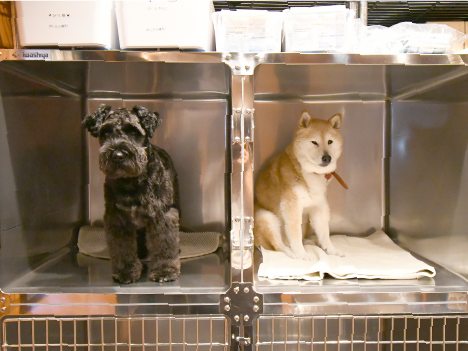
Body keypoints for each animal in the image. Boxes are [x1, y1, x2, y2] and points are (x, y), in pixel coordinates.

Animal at [83, 104, 180, 284]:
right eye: (106, 132)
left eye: (134, 132)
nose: (117, 155)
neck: (131, 182)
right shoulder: (118, 219)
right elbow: (122, 248)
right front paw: (126, 271)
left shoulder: (162, 215)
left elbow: (165, 242)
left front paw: (165, 270)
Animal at [254, 110, 346, 262]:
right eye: (314, 142)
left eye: (330, 141)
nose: (327, 158)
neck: (311, 173)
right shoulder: (292, 206)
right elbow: (295, 233)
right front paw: (302, 253)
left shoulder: (319, 206)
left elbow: (324, 233)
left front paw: (331, 250)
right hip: (266, 217)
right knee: (278, 246)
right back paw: (291, 252)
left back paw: (309, 241)